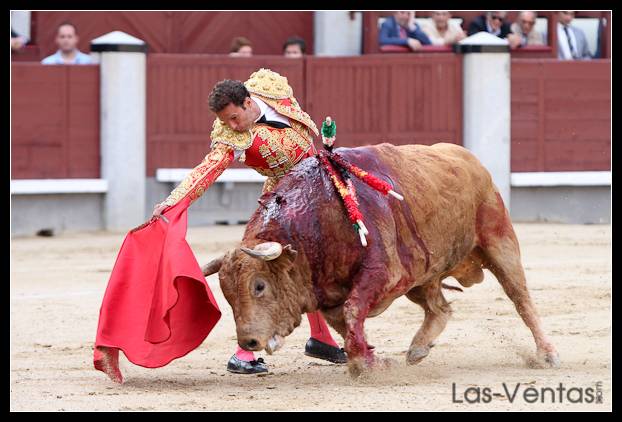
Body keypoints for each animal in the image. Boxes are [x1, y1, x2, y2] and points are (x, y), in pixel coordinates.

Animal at [204, 143, 560, 378]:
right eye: (228, 296)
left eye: (259, 286)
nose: (248, 340)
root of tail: (471, 160)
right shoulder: (334, 294)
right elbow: (345, 322)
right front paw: (369, 358)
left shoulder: (383, 273)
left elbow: (352, 312)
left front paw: (366, 365)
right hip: (423, 273)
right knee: (440, 308)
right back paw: (418, 349)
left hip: (500, 243)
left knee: (521, 299)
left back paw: (547, 353)